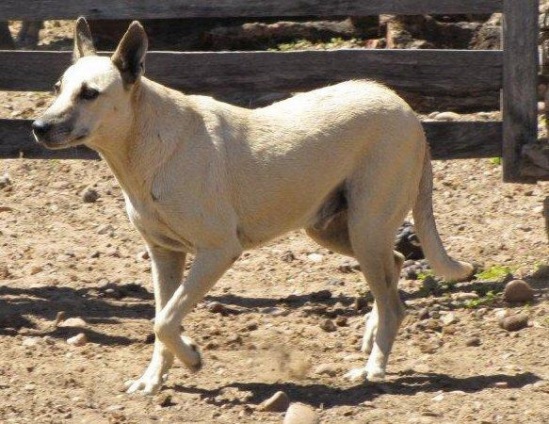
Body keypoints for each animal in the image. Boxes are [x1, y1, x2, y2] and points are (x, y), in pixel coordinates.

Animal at [32, 16, 474, 394]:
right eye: (56, 88)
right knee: (395, 265)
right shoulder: (164, 255)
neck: (141, 140)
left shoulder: (217, 251)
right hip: (334, 229)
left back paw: (373, 368)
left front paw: (192, 358)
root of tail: (404, 108)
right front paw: (154, 380)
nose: (38, 127)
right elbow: (162, 318)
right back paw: (370, 337)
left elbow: (164, 320)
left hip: (365, 228)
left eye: (89, 94)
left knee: (394, 303)